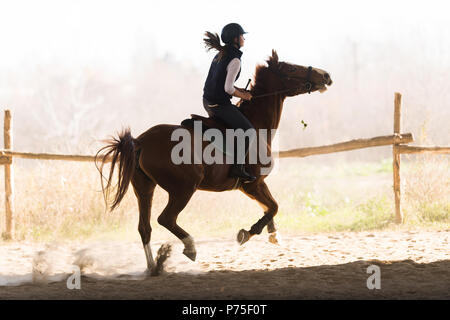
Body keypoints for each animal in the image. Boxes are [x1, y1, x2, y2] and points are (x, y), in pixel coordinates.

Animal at [96, 49, 334, 272]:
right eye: (291, 68)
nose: (326, 75)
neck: (257, 124)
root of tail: (141, 140)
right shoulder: (251, 185)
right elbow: (273, 206)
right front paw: (248, 233)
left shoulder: (257, 184)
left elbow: (270, 206)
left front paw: (273, 234)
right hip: (183, 188)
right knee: (166, 219)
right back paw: (189, 248)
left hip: (145, 188)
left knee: (145, 228)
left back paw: (153, 267)